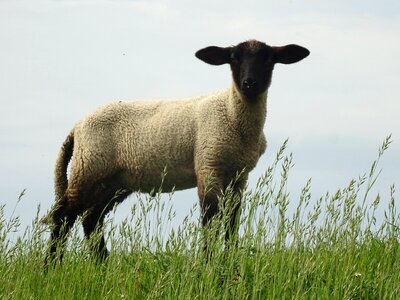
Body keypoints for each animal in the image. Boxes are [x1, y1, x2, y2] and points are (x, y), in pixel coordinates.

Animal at [47, 38, 310, 262]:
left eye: (268, 59)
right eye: (234, 58)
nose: (249, 83)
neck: (231, 112)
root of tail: (77, 126)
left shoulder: (239, 175)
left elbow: (232, 220)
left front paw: (230, 260)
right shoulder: (208, 164)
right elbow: (210, 219)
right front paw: (208, 263)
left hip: (113, 181)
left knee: (91, 219)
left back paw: (102, 265)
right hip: (89, 167)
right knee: (64, 216)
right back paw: (51, 266)